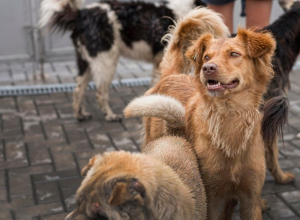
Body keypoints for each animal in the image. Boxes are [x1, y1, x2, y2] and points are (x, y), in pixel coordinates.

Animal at [38, 0, 209, 120]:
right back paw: (110, 115)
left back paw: (80, 115)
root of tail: (81, 15)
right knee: (100, 93)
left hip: (86, 62)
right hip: (106, 61)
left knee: (78, 90)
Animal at [123, 7, 282, 218]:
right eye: (207, 57)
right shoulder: (210, 197)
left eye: (234, 54)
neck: (229, 117)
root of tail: (171, 75)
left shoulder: (251, 198)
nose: (207, 68)